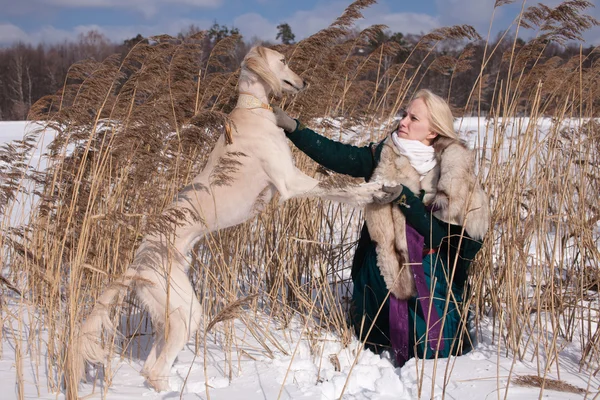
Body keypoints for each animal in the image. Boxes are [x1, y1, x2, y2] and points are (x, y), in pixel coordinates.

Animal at [76, 46, 384, 390]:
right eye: (283, 61)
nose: (304, 81)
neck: (253, 111)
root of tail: (137, 264)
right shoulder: (290, 182)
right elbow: (339, 187)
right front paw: (373, 190)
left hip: (170, 311)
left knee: (149, 367)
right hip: (185, 312)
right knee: (156, 370)